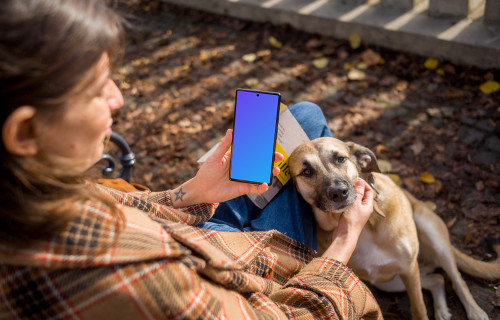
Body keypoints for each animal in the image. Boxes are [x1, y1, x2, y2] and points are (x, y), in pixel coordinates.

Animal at [290, 138, 500, 320]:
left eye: (340, 159)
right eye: (307, 171)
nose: (339, 192)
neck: (366, 226)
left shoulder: (408, 268)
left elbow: (419, 308)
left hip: (432, 240)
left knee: (457, 281)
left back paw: (474, 311)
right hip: (390, 282)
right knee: (437, 279)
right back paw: (441, 310)